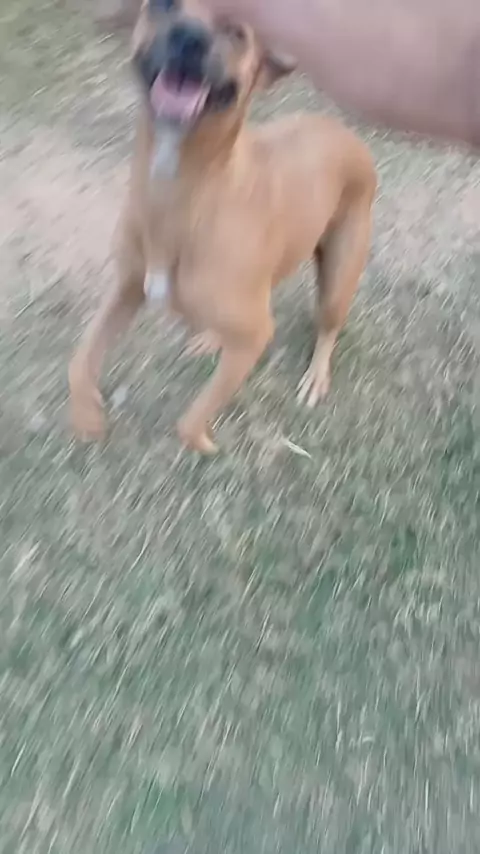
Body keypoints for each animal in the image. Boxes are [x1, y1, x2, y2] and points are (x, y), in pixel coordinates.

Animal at [69, 0, 376, 454]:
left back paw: (317, 373)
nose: (189, 38)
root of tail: (347, 135)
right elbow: (79, 359)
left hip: (338, 280)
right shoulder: (126, 287)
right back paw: (211, 337)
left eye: (236, 29)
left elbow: (190, 418)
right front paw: (87, 414)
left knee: (328, 328)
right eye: (162, 5)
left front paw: (202, 443)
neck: (180, 195)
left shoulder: (255, 335)